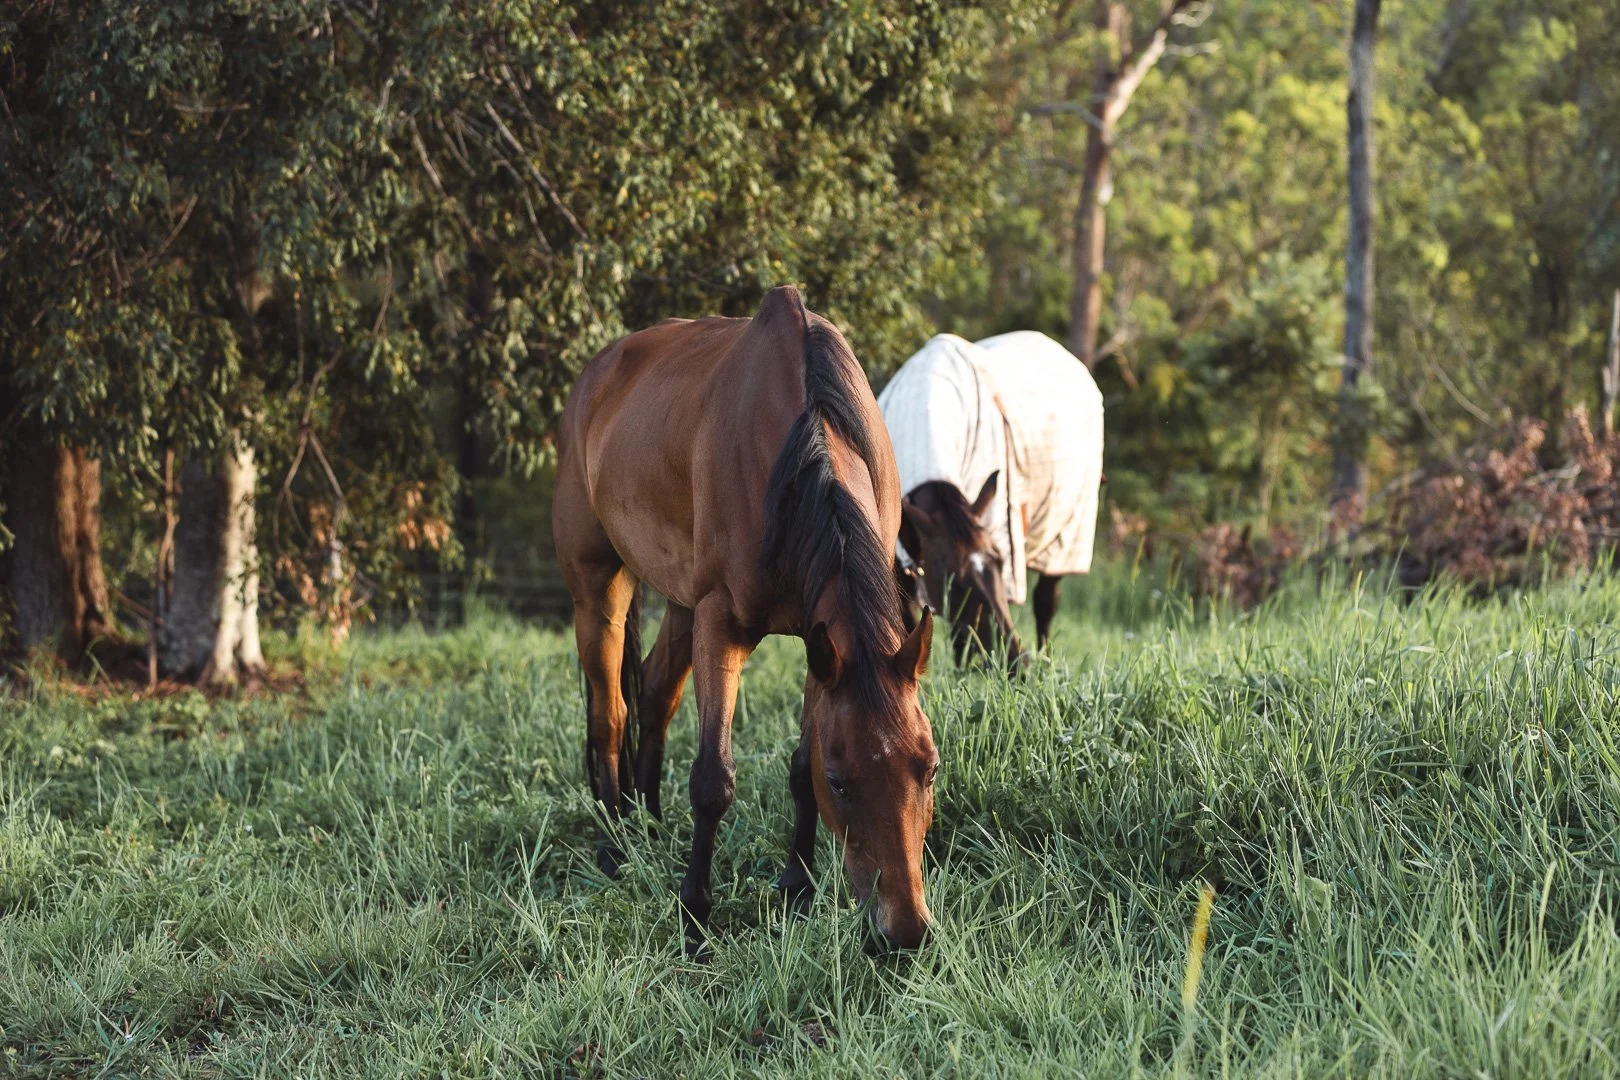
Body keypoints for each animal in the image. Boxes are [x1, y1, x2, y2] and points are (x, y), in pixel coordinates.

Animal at [552, 286, 939, 952]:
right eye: (841, 780)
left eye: (931, 768)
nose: (906, 930)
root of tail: (591, 380)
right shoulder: (722, 625)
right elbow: (713, 779)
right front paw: (695, 917)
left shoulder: (820, 642)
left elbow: (796, 767)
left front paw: (797, 891)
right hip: (598, 589)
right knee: (609, 716)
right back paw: (613, 846)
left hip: (679, 601)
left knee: (654, 693)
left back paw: (648, 825)